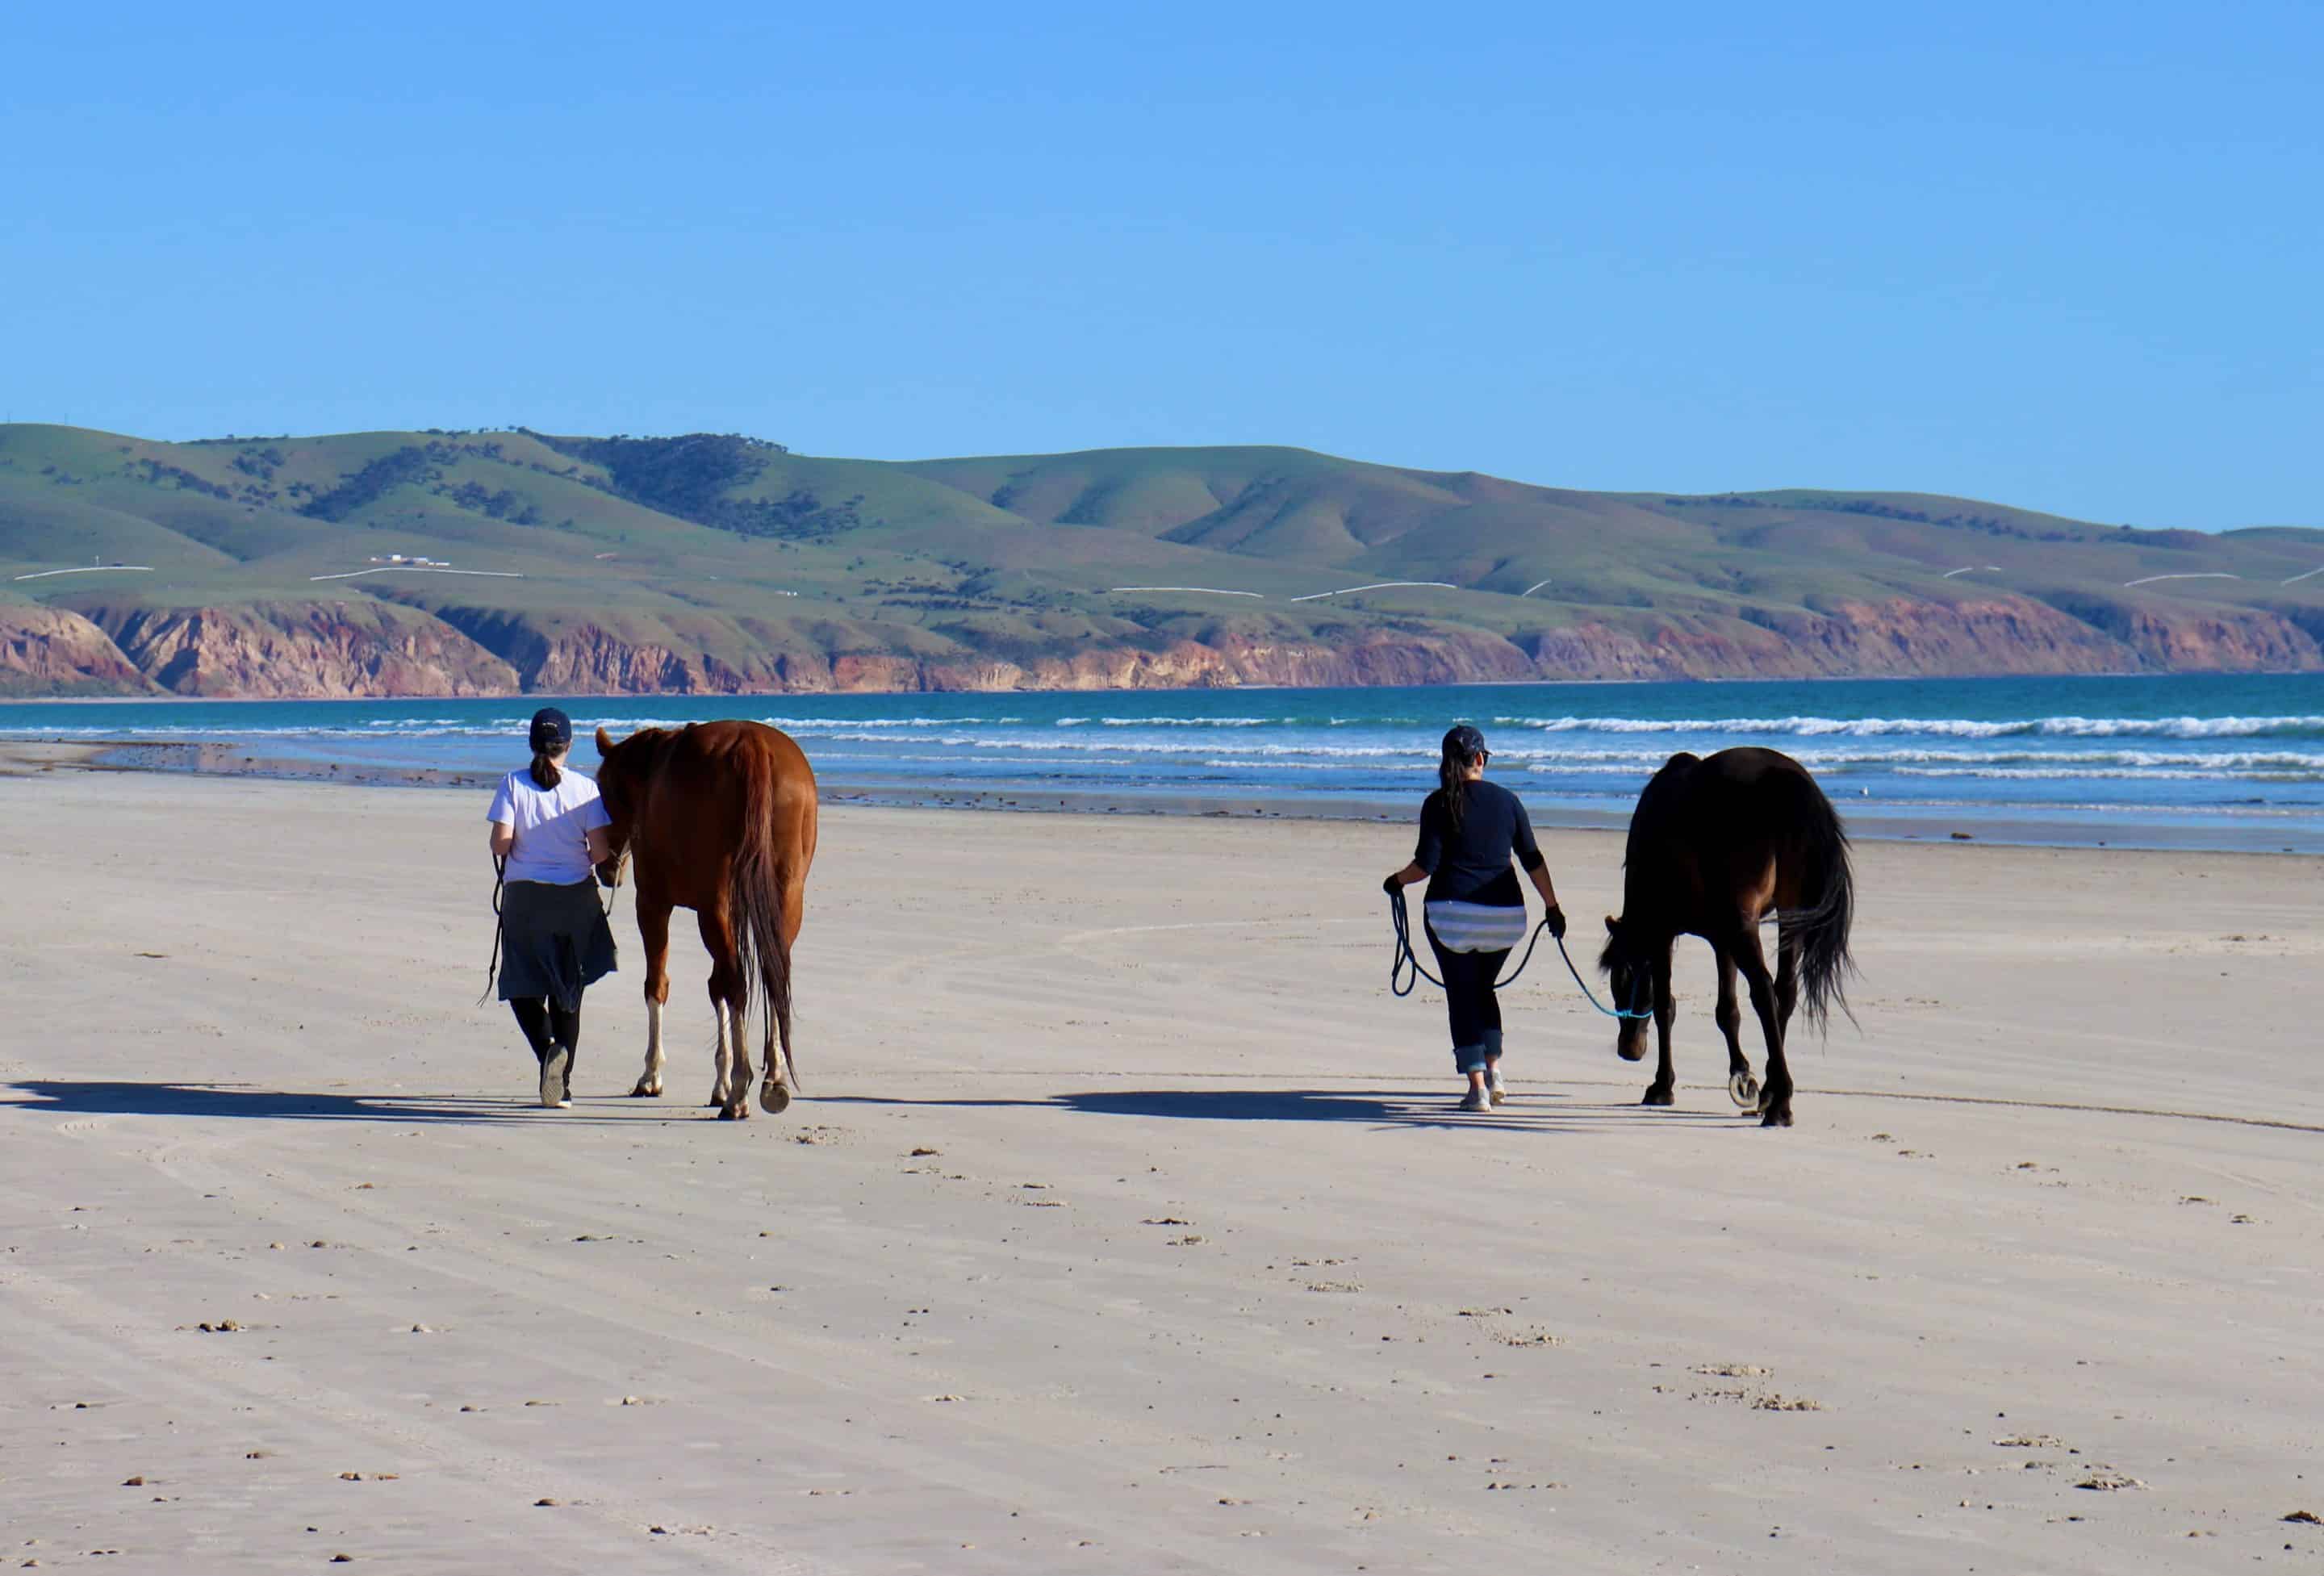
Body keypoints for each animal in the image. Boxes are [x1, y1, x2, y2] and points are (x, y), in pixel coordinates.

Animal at [590, 725, 817, 1125]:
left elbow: (658, 985)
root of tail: (752, 745)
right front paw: (720, 1080)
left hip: (714, 908)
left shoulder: (653, 905)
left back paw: (741, 1091)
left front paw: (652, 1074)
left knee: (739, 982)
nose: (605, 868)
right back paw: (772, 1079)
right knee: (772, 976)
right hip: (785, 899)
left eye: (601, 792)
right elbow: (717, 988)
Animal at [1599, 748, 1850, 1129]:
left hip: (1745, 926)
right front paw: (1743, 1076)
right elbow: (1727, 1011)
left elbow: (1665, 1006)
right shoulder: (1721, 939)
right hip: (1788, 916)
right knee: (1784, 992)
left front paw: (1662, 1085)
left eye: (1621, 981)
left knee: (1764, 991)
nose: (1628, 1049)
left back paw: (1780, 1103)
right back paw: (1772, 1091)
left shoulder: (1662, 935)